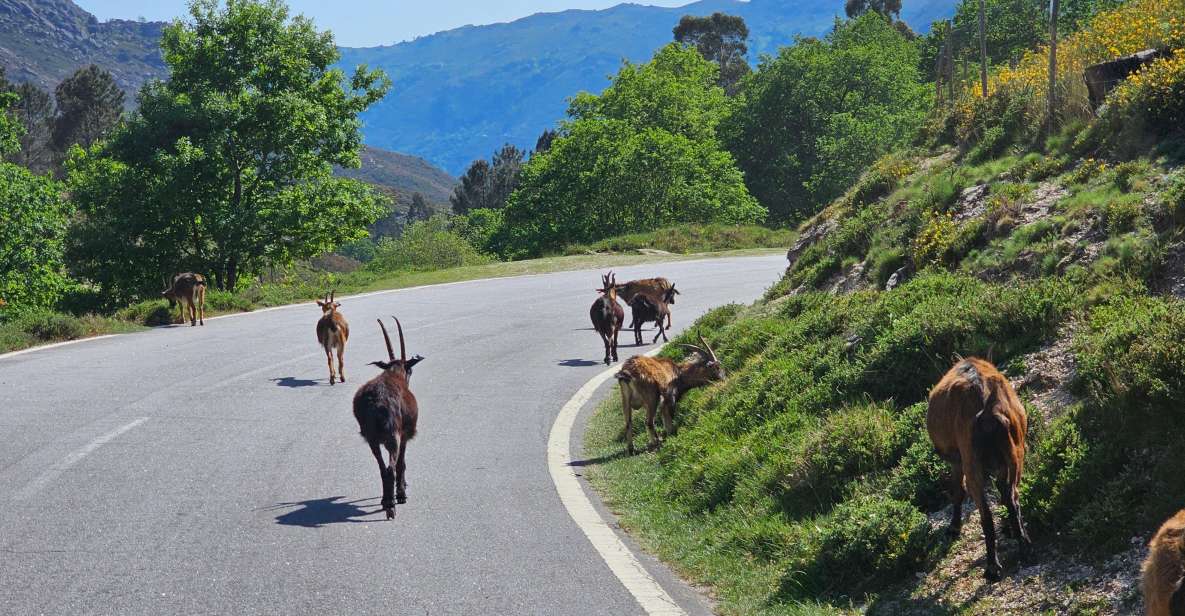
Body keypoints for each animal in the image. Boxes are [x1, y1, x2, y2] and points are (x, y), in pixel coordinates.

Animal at [350, 317, 426, 518]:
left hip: (372, 438)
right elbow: (402, 463)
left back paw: (386, 501)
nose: (409, 377)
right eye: (410, 371)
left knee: (382, 468)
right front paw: (402, 493)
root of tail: (377, 402)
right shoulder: (404, 435)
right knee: (391, 468)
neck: (393, 374)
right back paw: (392, 505)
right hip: (393, 436)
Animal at [924, 355, 1028, 582]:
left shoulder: (958, 459)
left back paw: (992, 568)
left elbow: (957, 491)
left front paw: (953, 528)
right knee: (1012, 497)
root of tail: (989, 411)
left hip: (972, 459)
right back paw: (1023, 543)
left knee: (986, 514)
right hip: (1015, 453)